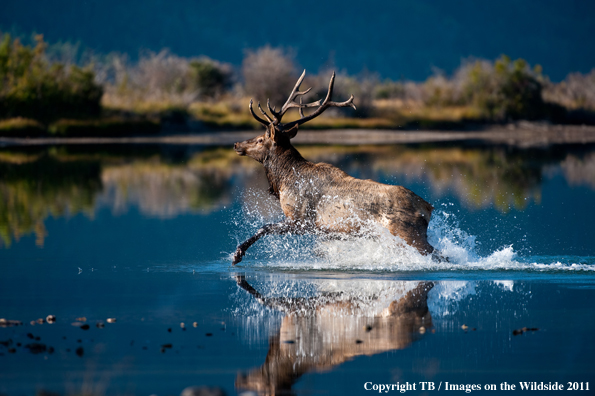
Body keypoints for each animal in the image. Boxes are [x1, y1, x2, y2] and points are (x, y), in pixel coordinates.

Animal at [233, 70, 438, 266]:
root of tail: (427, 207)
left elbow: (263, 227)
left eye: (261, 139)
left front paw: (237, 254)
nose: (236, 144)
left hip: (406, 233)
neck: (283, 181)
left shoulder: (300, 219)